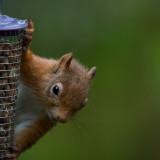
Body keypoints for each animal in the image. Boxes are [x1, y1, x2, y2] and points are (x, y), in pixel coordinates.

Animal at [7, 20, 96, 159]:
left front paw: (14, 151)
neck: (39, 100)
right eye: (56, 89)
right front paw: (27, 40)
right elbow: (24, 61)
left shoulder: (43, 119)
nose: (61, 118)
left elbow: (28, 132)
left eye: (83, 105)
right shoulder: (34, 71)